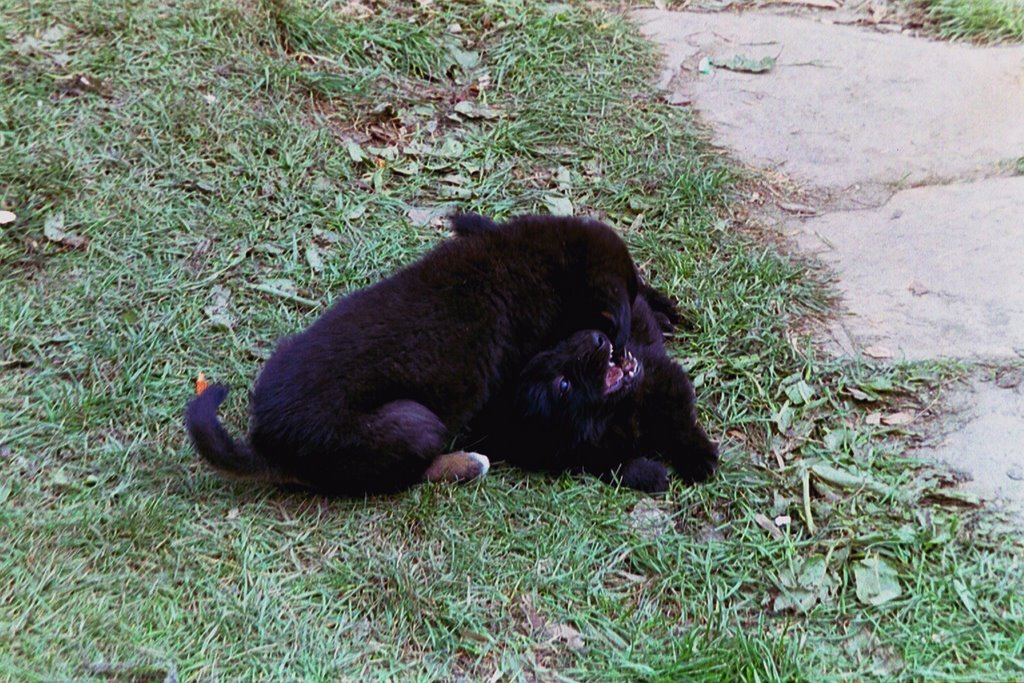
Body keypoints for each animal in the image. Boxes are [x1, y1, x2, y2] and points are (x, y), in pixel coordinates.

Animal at [180, 215, 634, 497]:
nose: (607, 342)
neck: (521, 254)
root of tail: (268, 445)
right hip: (415, 422)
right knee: (406, 474)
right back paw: (468, 464)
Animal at [466, 282, 720, 491]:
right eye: (564, 384)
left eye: (559, 342)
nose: (598, 338)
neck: (610, 415)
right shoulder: (568, 452)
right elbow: (610, 464)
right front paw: (650, 475)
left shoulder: (660, 374)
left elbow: (681, 422)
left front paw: (699, 456)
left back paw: (665, 313)